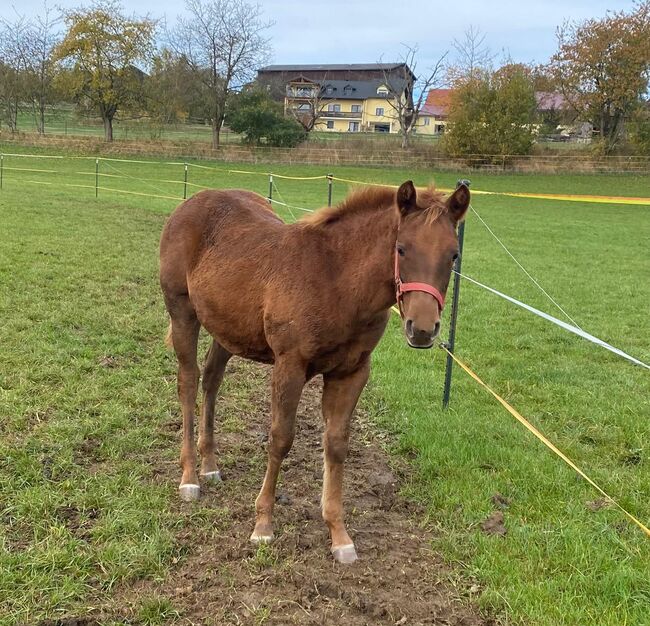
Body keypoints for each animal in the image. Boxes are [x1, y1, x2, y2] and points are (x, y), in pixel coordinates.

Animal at [159, 179, 468, 560]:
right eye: (401, 248)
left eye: (453, 255)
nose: (422, 329)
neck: (336, 281)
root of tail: (191, 203)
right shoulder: (289, 366)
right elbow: (280, 438)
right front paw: (263, 525)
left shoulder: (352, 372)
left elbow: (335, 444)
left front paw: (339, 535)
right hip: (182, 313)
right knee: (188, 382)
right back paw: (190, 477)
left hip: (228, 329)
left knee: (212, 379)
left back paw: (210, 466)